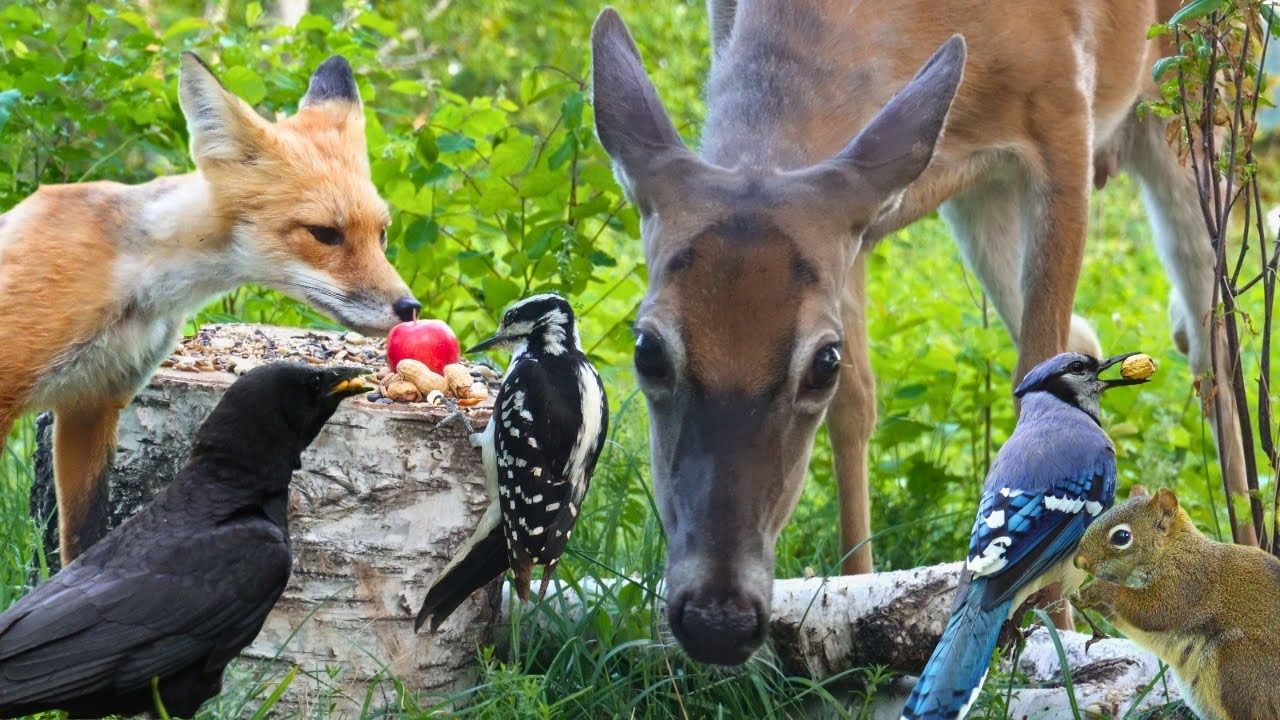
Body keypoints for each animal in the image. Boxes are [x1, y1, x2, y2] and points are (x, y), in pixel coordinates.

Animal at [0, 52, 419, 565]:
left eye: (381, 234)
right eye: (324, 234)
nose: (410, 308)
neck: (134, 283)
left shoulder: (92, 404)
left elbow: (82, 544)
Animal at [590, 0, 1238, 665]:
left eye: (820, 363)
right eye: (646, 350)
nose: (715, 621)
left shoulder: (1064, 116)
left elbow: (1037, 355)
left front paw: (1056, 624)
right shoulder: (863, 221)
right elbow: (857, 406)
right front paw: (851, 592)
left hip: (1193, 94)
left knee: (1209, 331)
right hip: (982, 200)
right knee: (1095, 334)